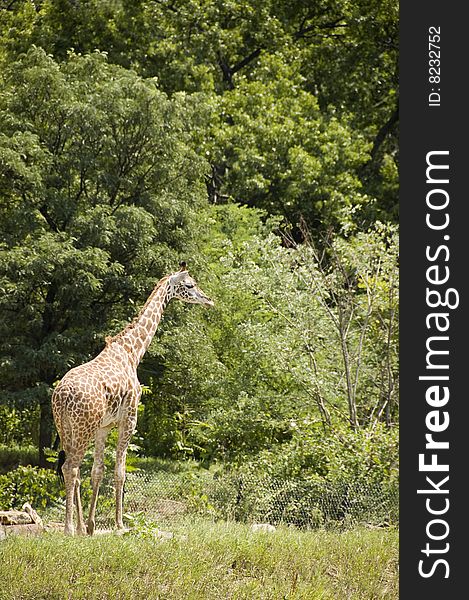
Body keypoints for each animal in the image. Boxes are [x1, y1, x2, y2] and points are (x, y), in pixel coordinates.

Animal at [51, 262, 212, 536]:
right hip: (82, 429)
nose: (208, 300)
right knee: (70, 468)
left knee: (73, 469)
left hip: (66, 429)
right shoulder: (130, 418)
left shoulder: (104, 426)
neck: (132, 352)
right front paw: (119, 525)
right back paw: (69, 529)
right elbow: (120, 471)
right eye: (190, 285)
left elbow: (97, 471)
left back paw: (78, 527)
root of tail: (61, 396)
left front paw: (91, 526)